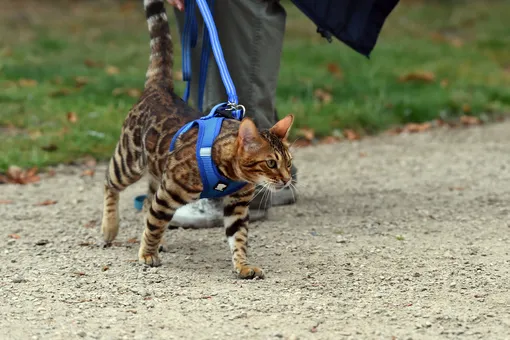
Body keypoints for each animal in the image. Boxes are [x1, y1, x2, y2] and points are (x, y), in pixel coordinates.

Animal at [100, 0, 294, 278]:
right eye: (270, 163)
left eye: (288, 163)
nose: (288, 179)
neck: (229, 173)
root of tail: (160, 88)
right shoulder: (169, 191)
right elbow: (155, 223)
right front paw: (147, 253)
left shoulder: (237, 206)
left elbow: (239, 238)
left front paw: (243, 265)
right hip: (129, 161)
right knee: (111, 185)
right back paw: (110, 228)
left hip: (156, 171)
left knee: (147, 201)